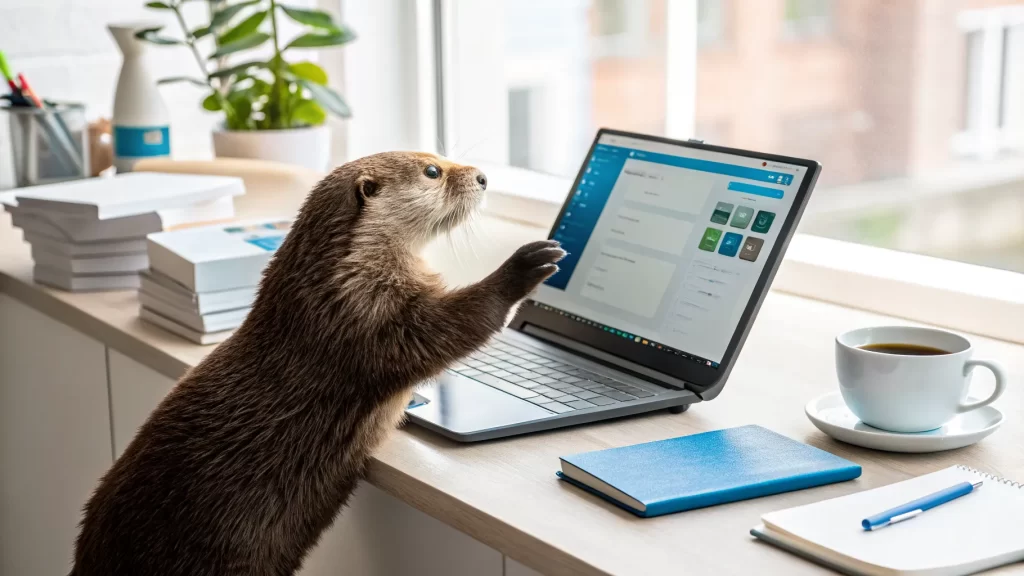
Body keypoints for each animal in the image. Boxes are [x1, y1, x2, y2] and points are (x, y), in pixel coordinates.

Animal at [70, 152, 566, 576]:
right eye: (432, 170)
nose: (482, 176)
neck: (327, 286)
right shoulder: (363, 316)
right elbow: (444, 330)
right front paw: (525, 264)